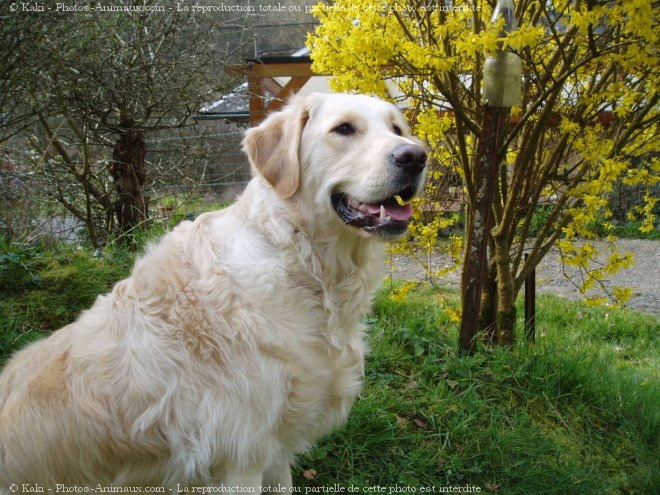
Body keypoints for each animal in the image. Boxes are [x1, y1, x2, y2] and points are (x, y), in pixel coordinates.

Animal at [0, 94, 428, 492]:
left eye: (397, 128)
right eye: (344, 129)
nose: (417, 156)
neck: (300, 261)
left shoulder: (277, 450)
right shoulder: (240, 460)